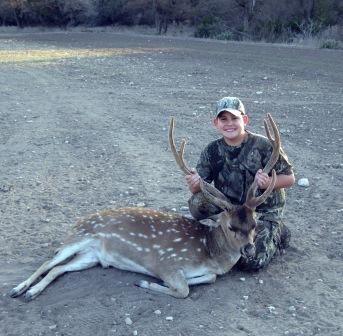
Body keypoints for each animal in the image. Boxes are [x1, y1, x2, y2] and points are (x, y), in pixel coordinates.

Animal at [9, 113, 280, 300]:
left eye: (254, 224)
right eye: (231, 226)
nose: (249, 249)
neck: (210, 253)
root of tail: (76, 223)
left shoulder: (206, 271)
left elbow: (209, 278)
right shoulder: (165, 262)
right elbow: (183, 290)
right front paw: (146, 283)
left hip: (91, 257)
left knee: (60, 269)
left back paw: (32, 292)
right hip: (77, 239)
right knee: (49, 262)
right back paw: (19, 289)